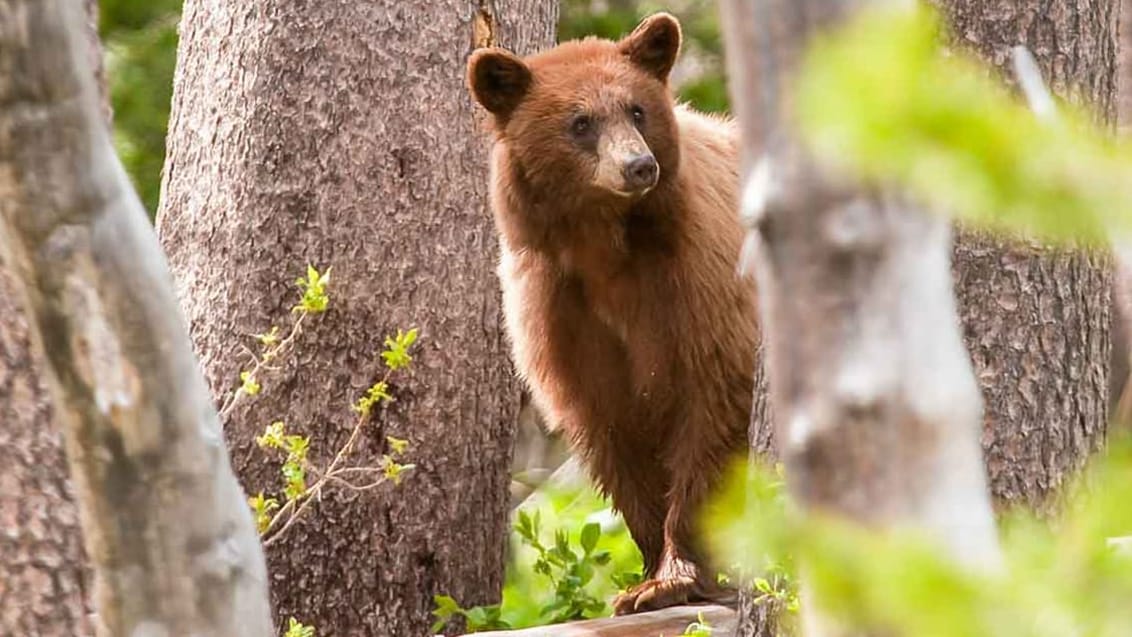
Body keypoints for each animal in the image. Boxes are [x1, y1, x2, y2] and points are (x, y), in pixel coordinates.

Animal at [464, 11, 756, 620]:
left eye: (637, 109)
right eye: (580, 122)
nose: (639, 165)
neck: (607, 249)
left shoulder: (702, 285)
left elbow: (711, 410)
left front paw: (673, 576)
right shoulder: (560, 312)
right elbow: (610, 429)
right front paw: (645, 576)